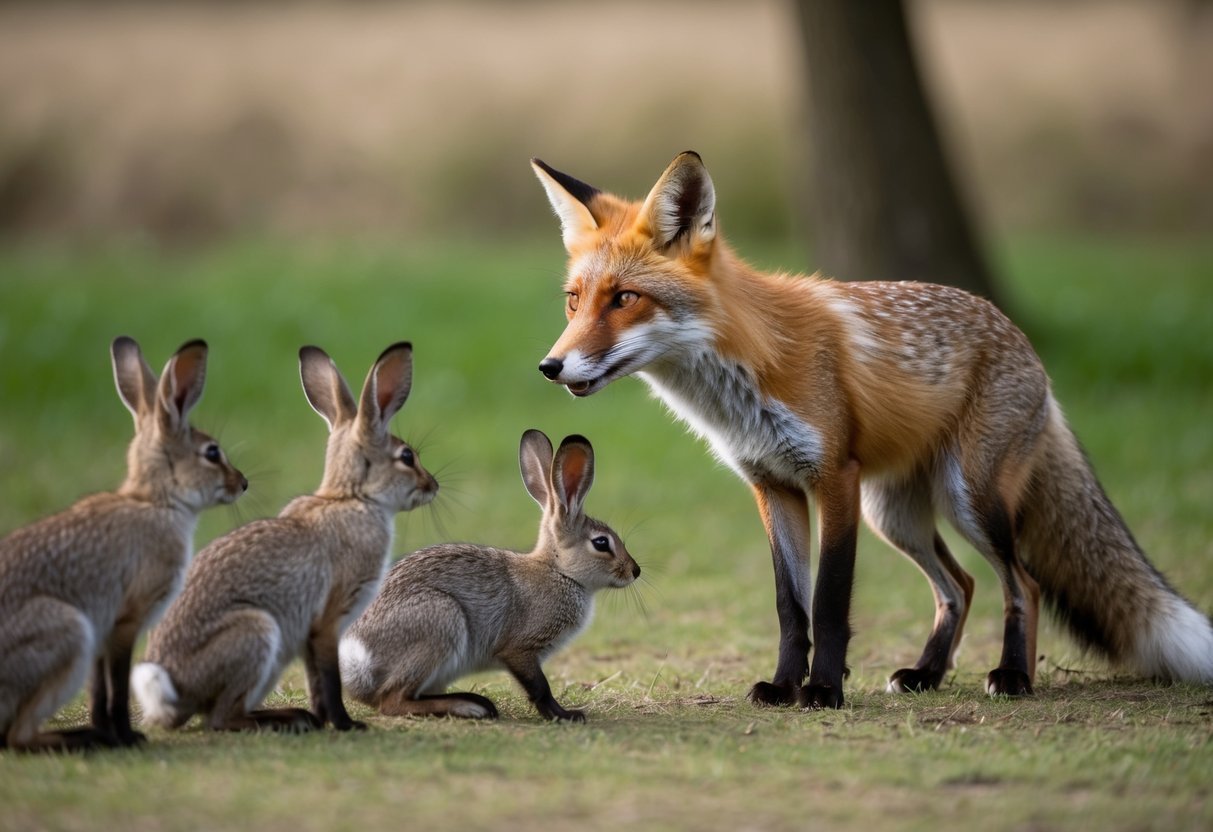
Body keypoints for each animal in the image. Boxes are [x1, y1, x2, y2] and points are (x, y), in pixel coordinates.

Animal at [0, 336, 246, 752]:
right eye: (212, 453)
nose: (242, 483)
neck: (157, 503)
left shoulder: (105, 631)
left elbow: (99, 690)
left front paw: (112, 734)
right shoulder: (126, 619)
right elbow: (116, 685)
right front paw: (128, 737)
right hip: (67, 631)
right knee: (17, 736)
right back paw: (81, 740)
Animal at [132, 342, 437, 733]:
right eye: (407, 457)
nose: (433, 485)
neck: (354, 499)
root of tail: (168, 698)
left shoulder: (310, 633)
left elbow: (315, 680)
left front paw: (326, 721)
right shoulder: (328, 618)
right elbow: (330, 677)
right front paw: (346, 724)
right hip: (256, 633)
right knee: (222, 718)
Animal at [339, 429, 639, 723]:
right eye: (601, 543)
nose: (634, 571)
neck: (559, 571)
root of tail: (357, 661)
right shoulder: (520, 649)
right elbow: (539, 687)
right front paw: (564, 715)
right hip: (441, 618)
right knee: (392, 700)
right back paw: (469, 707)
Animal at [530, 150, 1213, 708]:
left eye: (624, 299)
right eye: (574, 300)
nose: (550, 367)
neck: (747, 371)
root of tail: (1023, 341)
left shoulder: (835, 478)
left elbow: (829, 601)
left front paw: (824, 691)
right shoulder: (772, 486)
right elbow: (790, 606)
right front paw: (783, 686)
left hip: (970, 501)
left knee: (1023, 582)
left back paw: (1013, 676)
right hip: (897, 515)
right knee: (960, 585)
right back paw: (926, 675)